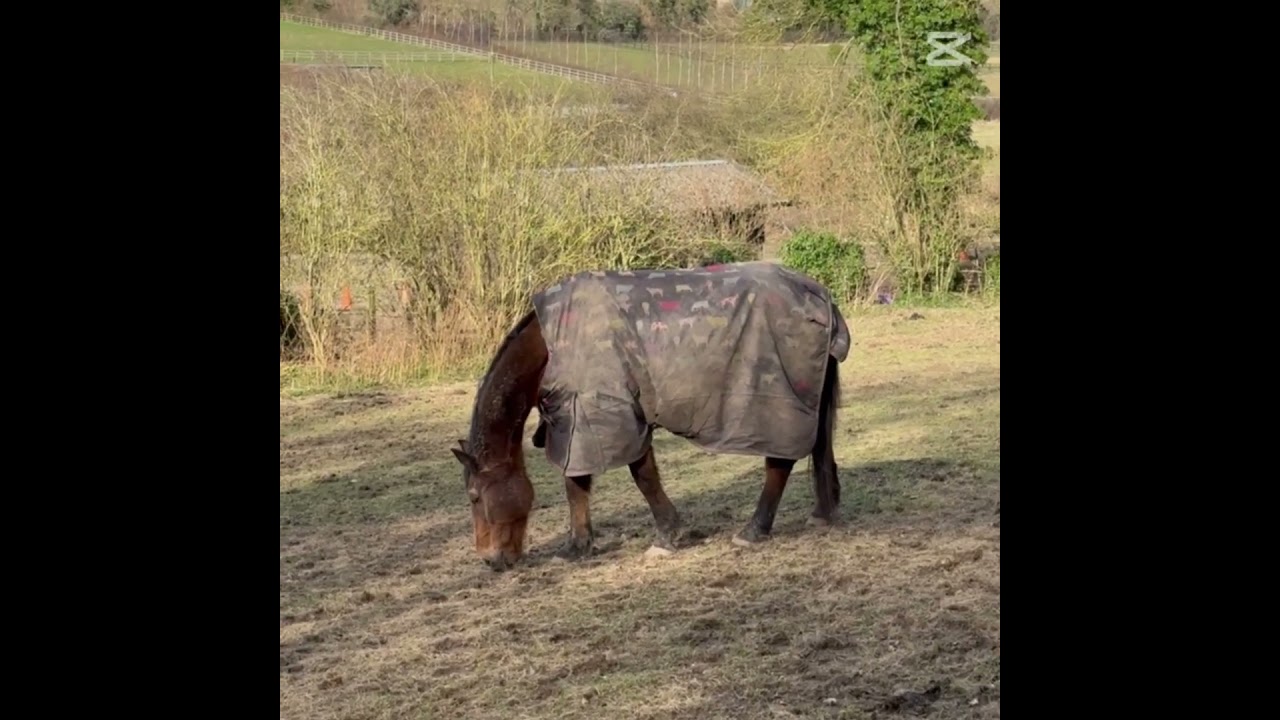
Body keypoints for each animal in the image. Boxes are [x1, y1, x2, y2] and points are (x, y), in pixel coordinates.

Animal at [450, 261, 852, 571]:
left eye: (473, 496)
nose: (490, 559)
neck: (556, 344)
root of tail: (821, 296)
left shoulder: (606, 416)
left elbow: (633, 478)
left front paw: (664, 537)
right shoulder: (583, 420)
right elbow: (581, 484)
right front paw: (579, 545)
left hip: (774, 407)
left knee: (780, 462)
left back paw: (754, 530)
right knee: (819, 450)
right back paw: (822, 512)